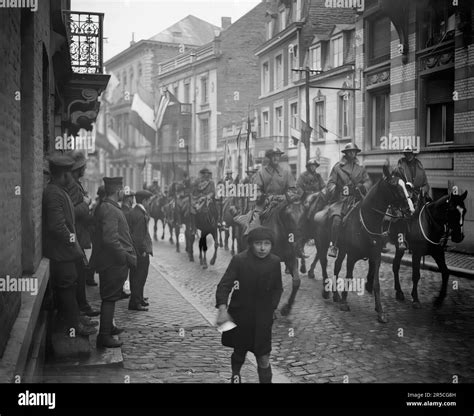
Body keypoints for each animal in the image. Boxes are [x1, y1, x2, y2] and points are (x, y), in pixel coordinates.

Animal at [312, 164, 412, 324]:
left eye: (406, 185)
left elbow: (376, 283)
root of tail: (320, 212)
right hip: (322, 245)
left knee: (336, 266)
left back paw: (336, 295)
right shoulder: (352, 256)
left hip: (342, 250)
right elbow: (348, 277)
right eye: (394, 185)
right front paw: (345, 303)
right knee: (323, 263)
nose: (410, 209)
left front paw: (380, 311)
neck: (367, 220)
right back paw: (326, 292)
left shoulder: (376, 257)